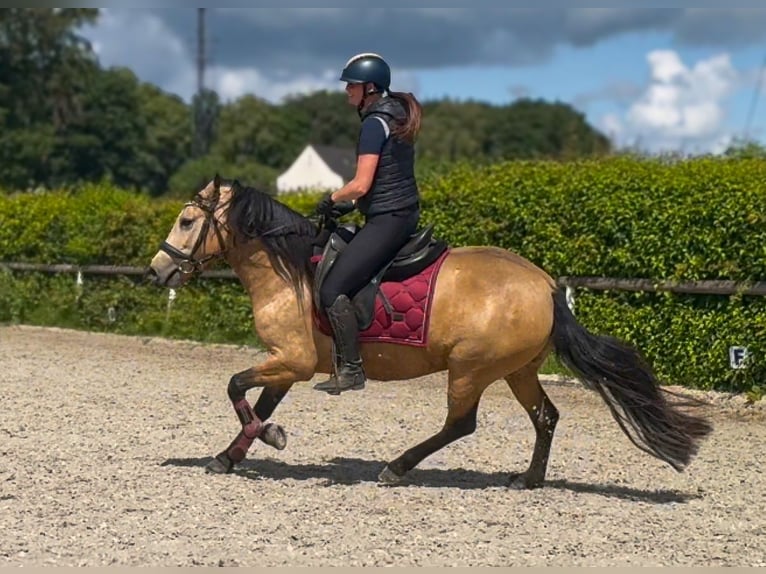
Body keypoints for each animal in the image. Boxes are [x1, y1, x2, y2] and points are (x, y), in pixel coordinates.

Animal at [146, 175, 712, 488]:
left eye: (186, 221)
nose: (157, 271)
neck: (289, 272)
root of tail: (545, 283)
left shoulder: (294, 361)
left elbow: (236, 387)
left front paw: (266, 439)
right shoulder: (286, 361)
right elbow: (258, 404)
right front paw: (235, 453)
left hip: (470, 369)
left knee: (461, 424)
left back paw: (397, 468)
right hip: (518, 371)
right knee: (546, 417)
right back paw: (529, 480)